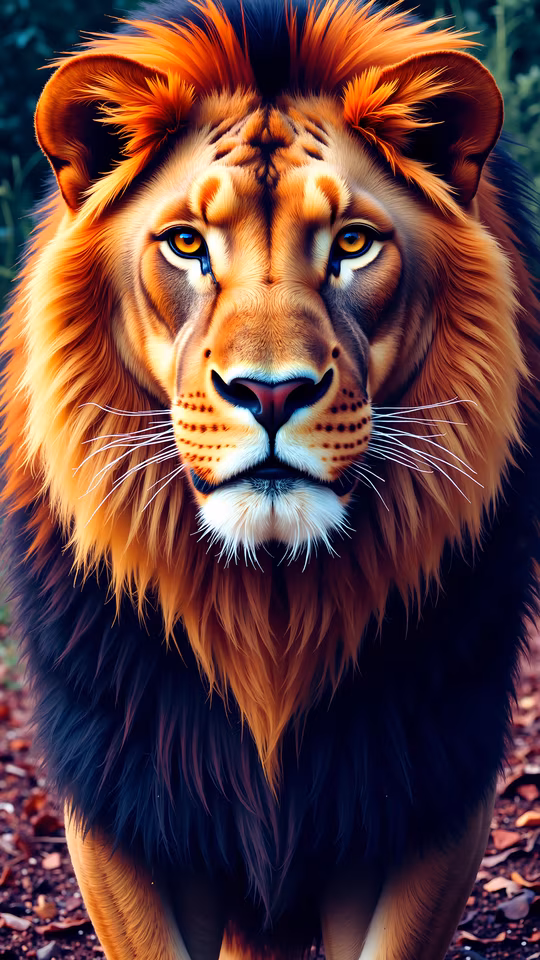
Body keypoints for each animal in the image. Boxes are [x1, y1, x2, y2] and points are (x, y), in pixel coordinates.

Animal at [2, 0, 539, 957]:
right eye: (186, 244)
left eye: (353, 244)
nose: (271, 391)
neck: (269, 611)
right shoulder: (123, 802)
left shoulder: (428, 796)